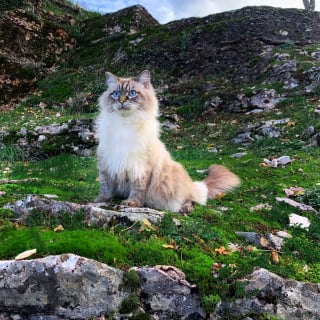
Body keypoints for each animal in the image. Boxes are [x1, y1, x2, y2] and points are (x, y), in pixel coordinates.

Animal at [95, 70, 240, 212]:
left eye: (132, 93)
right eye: (116, 94)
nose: (121, 101)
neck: (125, 123)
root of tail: (193, 183)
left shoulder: (141, 168)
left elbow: (137, 189)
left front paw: (131, 203)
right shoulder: (107, 163)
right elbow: (105, 186)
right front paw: (102, 200)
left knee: (192, 199)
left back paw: (186, 209)